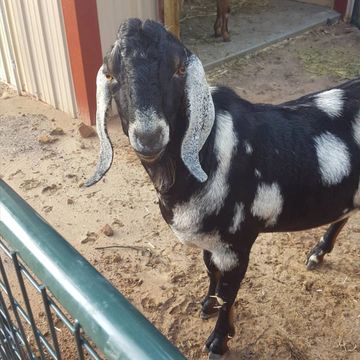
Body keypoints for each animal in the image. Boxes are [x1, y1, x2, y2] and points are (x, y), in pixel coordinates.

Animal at [86, 19, 360, 358]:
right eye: (111, 74)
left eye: (179, 69)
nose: (149, 137)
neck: (209, 150)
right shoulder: (210, 241)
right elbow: (209, 270)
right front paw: (207, 305)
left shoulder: (236, 244)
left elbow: (229, 293)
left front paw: (219, 340)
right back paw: (318, 253)